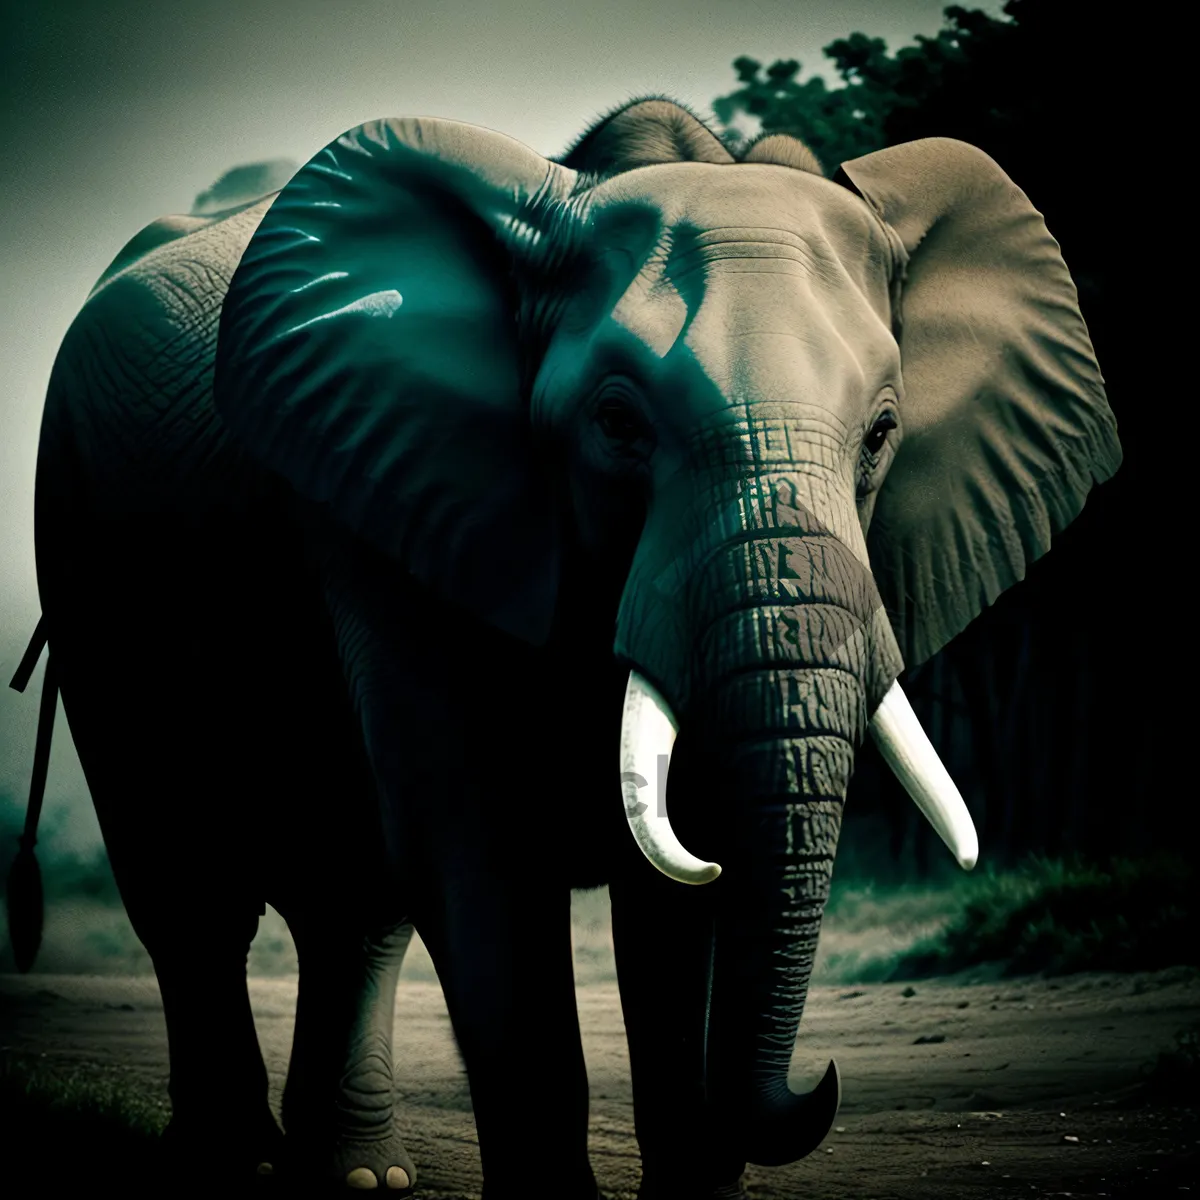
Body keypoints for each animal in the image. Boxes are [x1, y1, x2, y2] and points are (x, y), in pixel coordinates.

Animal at [23, 100, 1118, 1200]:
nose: (821, 1082)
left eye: (883, 434)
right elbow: (474, 840)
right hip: (83, 544)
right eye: (617, 422)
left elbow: (685, 868)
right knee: (188, 887)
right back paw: (235, 1167)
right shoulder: (402, 504)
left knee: (352, 910)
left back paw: (359, 1179)